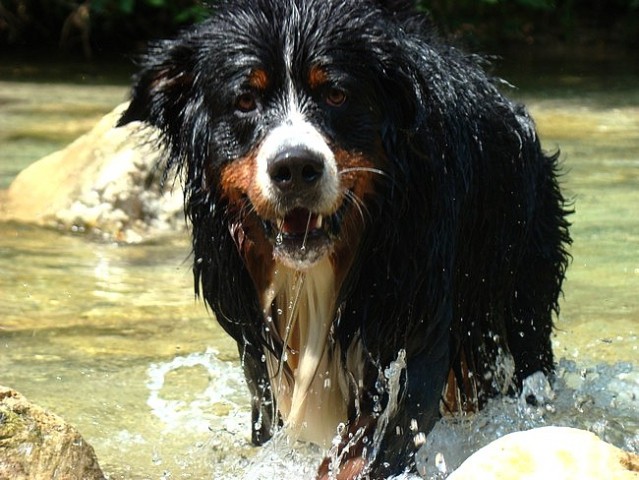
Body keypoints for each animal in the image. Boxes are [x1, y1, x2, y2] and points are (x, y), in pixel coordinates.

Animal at [117, 1, 572, 478]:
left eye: (336, 95)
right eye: (244, 101)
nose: (295, 167)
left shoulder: (414, 314)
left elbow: (378, 440)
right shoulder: (254, 341)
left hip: (520, 292)